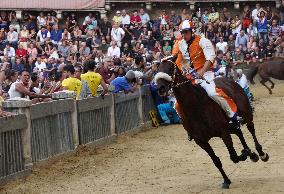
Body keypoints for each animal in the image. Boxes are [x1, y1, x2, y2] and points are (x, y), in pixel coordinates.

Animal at [155, 56, 268, 189]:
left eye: (170, 68)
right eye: (158, 69)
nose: (161, 88)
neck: (195, 106)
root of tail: (230, 81)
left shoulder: (223, 132)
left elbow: (234, 156)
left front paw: (246, 154)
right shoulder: (201, 141)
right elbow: (216, 161)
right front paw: (226, 180)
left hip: (246, 115)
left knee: (251, 129)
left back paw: (260, 153)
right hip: (230, 125)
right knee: (238, 131)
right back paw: (250, 152)